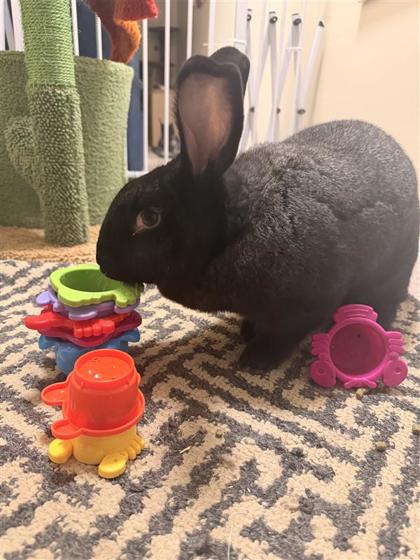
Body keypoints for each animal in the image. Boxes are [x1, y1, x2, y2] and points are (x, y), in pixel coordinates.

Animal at [97, 46, 419, 371]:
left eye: (149, 218)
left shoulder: (308, 304)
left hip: (391, 271)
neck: (237, 228)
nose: (101, 261)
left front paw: (255, 360)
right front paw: (247, 331)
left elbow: (285, 335)